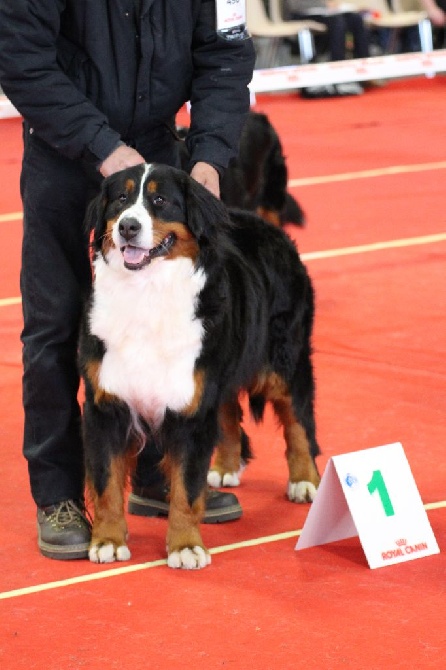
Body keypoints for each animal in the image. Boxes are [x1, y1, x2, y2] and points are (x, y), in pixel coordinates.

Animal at [80, 163, 320, 572]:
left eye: (160, 199)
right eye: (121, 199)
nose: (128, 226)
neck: (146, 293)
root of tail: (263, 223)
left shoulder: (190, 407)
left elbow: (186, 488)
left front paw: (186, 546)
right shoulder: (107, 403)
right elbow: (106, 481)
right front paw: (108, 541)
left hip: (283, 359)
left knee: (298, 418)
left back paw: (306, 481)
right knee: (230, 413)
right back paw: (225, 467)